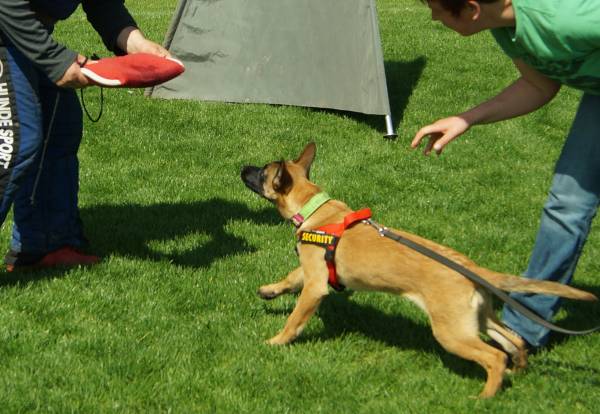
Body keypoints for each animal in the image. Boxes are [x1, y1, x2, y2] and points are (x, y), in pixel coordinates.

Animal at [240, 142, 597, 398]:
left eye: (262, 172)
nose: (242, 167)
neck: (317, 210)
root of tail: (473, 268)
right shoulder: (313, 269)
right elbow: (291, 278)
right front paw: (269, 291)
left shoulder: (316, 286)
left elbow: (295, 318)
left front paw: (276, 341)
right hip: (477, 318)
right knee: (513, 341)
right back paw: (516, 371)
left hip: (451, 332)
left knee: (494, 356)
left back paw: (485, 397)